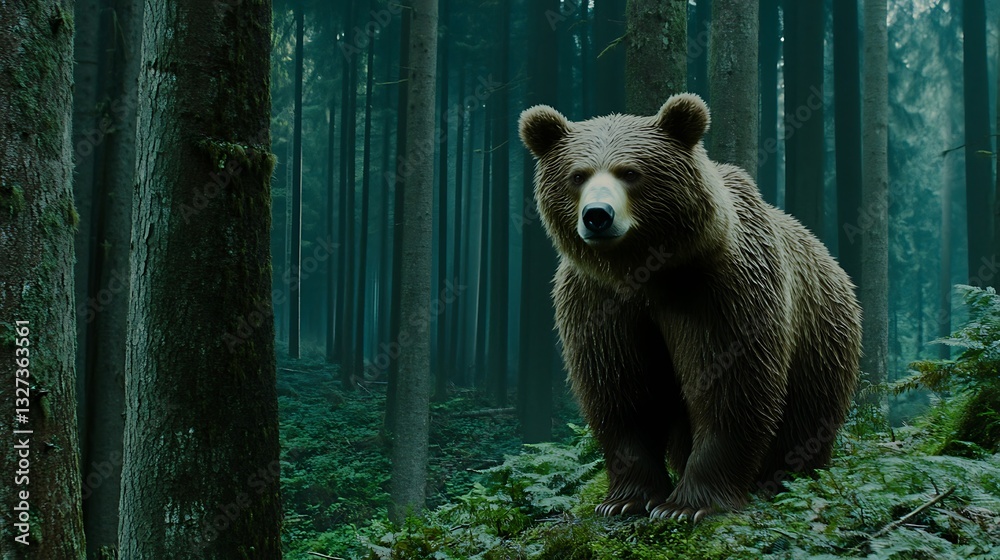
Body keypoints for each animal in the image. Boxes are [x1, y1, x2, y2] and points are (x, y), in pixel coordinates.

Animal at [518, 93, 862, 522]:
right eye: (578, 175)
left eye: (630, 172)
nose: (597, 215)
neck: (645, 273)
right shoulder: (599, 300)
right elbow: (621, 393)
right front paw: (625, 499)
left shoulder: (720, 291)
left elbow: (730, 387)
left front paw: (687, 505)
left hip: (821, 336)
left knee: (806, 415)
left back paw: (783, 476)